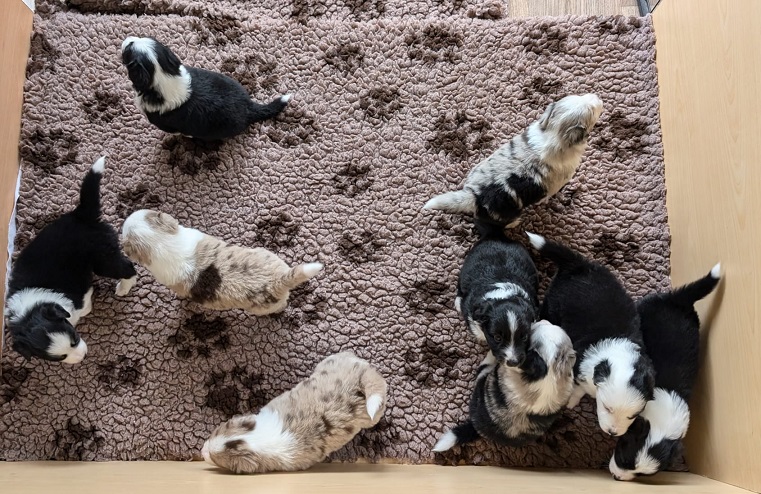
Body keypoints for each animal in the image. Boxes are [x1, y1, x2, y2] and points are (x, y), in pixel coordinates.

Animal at [4, 157, 137, 363]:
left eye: (74, 338)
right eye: (60, 357)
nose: (83, 356)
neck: (32, 306)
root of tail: (80, 214)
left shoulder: (79, 296)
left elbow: (83, 307)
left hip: (102, 258)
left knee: (128, 267)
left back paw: (123, 288)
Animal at [202, 352, 387, 474]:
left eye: (215, 458)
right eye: (215, 432)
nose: (202, 450)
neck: (260, 437)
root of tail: (362, 377)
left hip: (372, 414)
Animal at [423, 94, 603, 227]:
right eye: (593, 111)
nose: (598, 97)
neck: (554, 134)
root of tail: (473, 195)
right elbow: (548, 196)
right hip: (508, 214)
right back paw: (516, 223)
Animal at [456, 221, 539, 367]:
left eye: (524, 336)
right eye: (497, 338)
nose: (513, 362)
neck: (503, 293)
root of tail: (495, 234)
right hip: (464, 272)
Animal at [527, 232, 654, 437]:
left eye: (632, 416)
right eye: (607, 408)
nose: (613, 433)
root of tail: (579, 264)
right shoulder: (578, 364)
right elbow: (579, 387)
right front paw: (572, 401)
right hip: (553, 302)